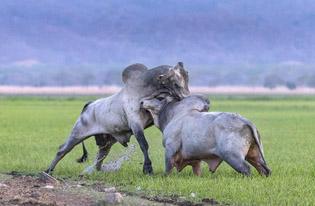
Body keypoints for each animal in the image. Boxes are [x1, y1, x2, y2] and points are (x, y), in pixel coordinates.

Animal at [46, 62, 190, 174]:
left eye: (187, 80)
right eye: (175, 83)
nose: (186, 97)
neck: (144, 92)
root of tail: (89, 106)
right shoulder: (135, 124)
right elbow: (144, 145)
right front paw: (148, 168)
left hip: (106, 142)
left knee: (100, 157)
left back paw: (98, 171)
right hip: (77, 134)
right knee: (62, 150)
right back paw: (48, 170)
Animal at [143, 94, 272, 176]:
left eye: (159, 98)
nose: (142, 101)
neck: (173, 115)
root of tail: (246, 121)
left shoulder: (170, 149)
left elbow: (168, 168)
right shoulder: (195, 159)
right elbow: (197, 171)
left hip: (232, 156)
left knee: (246, 169)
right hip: (254, 155)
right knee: (265, 170)